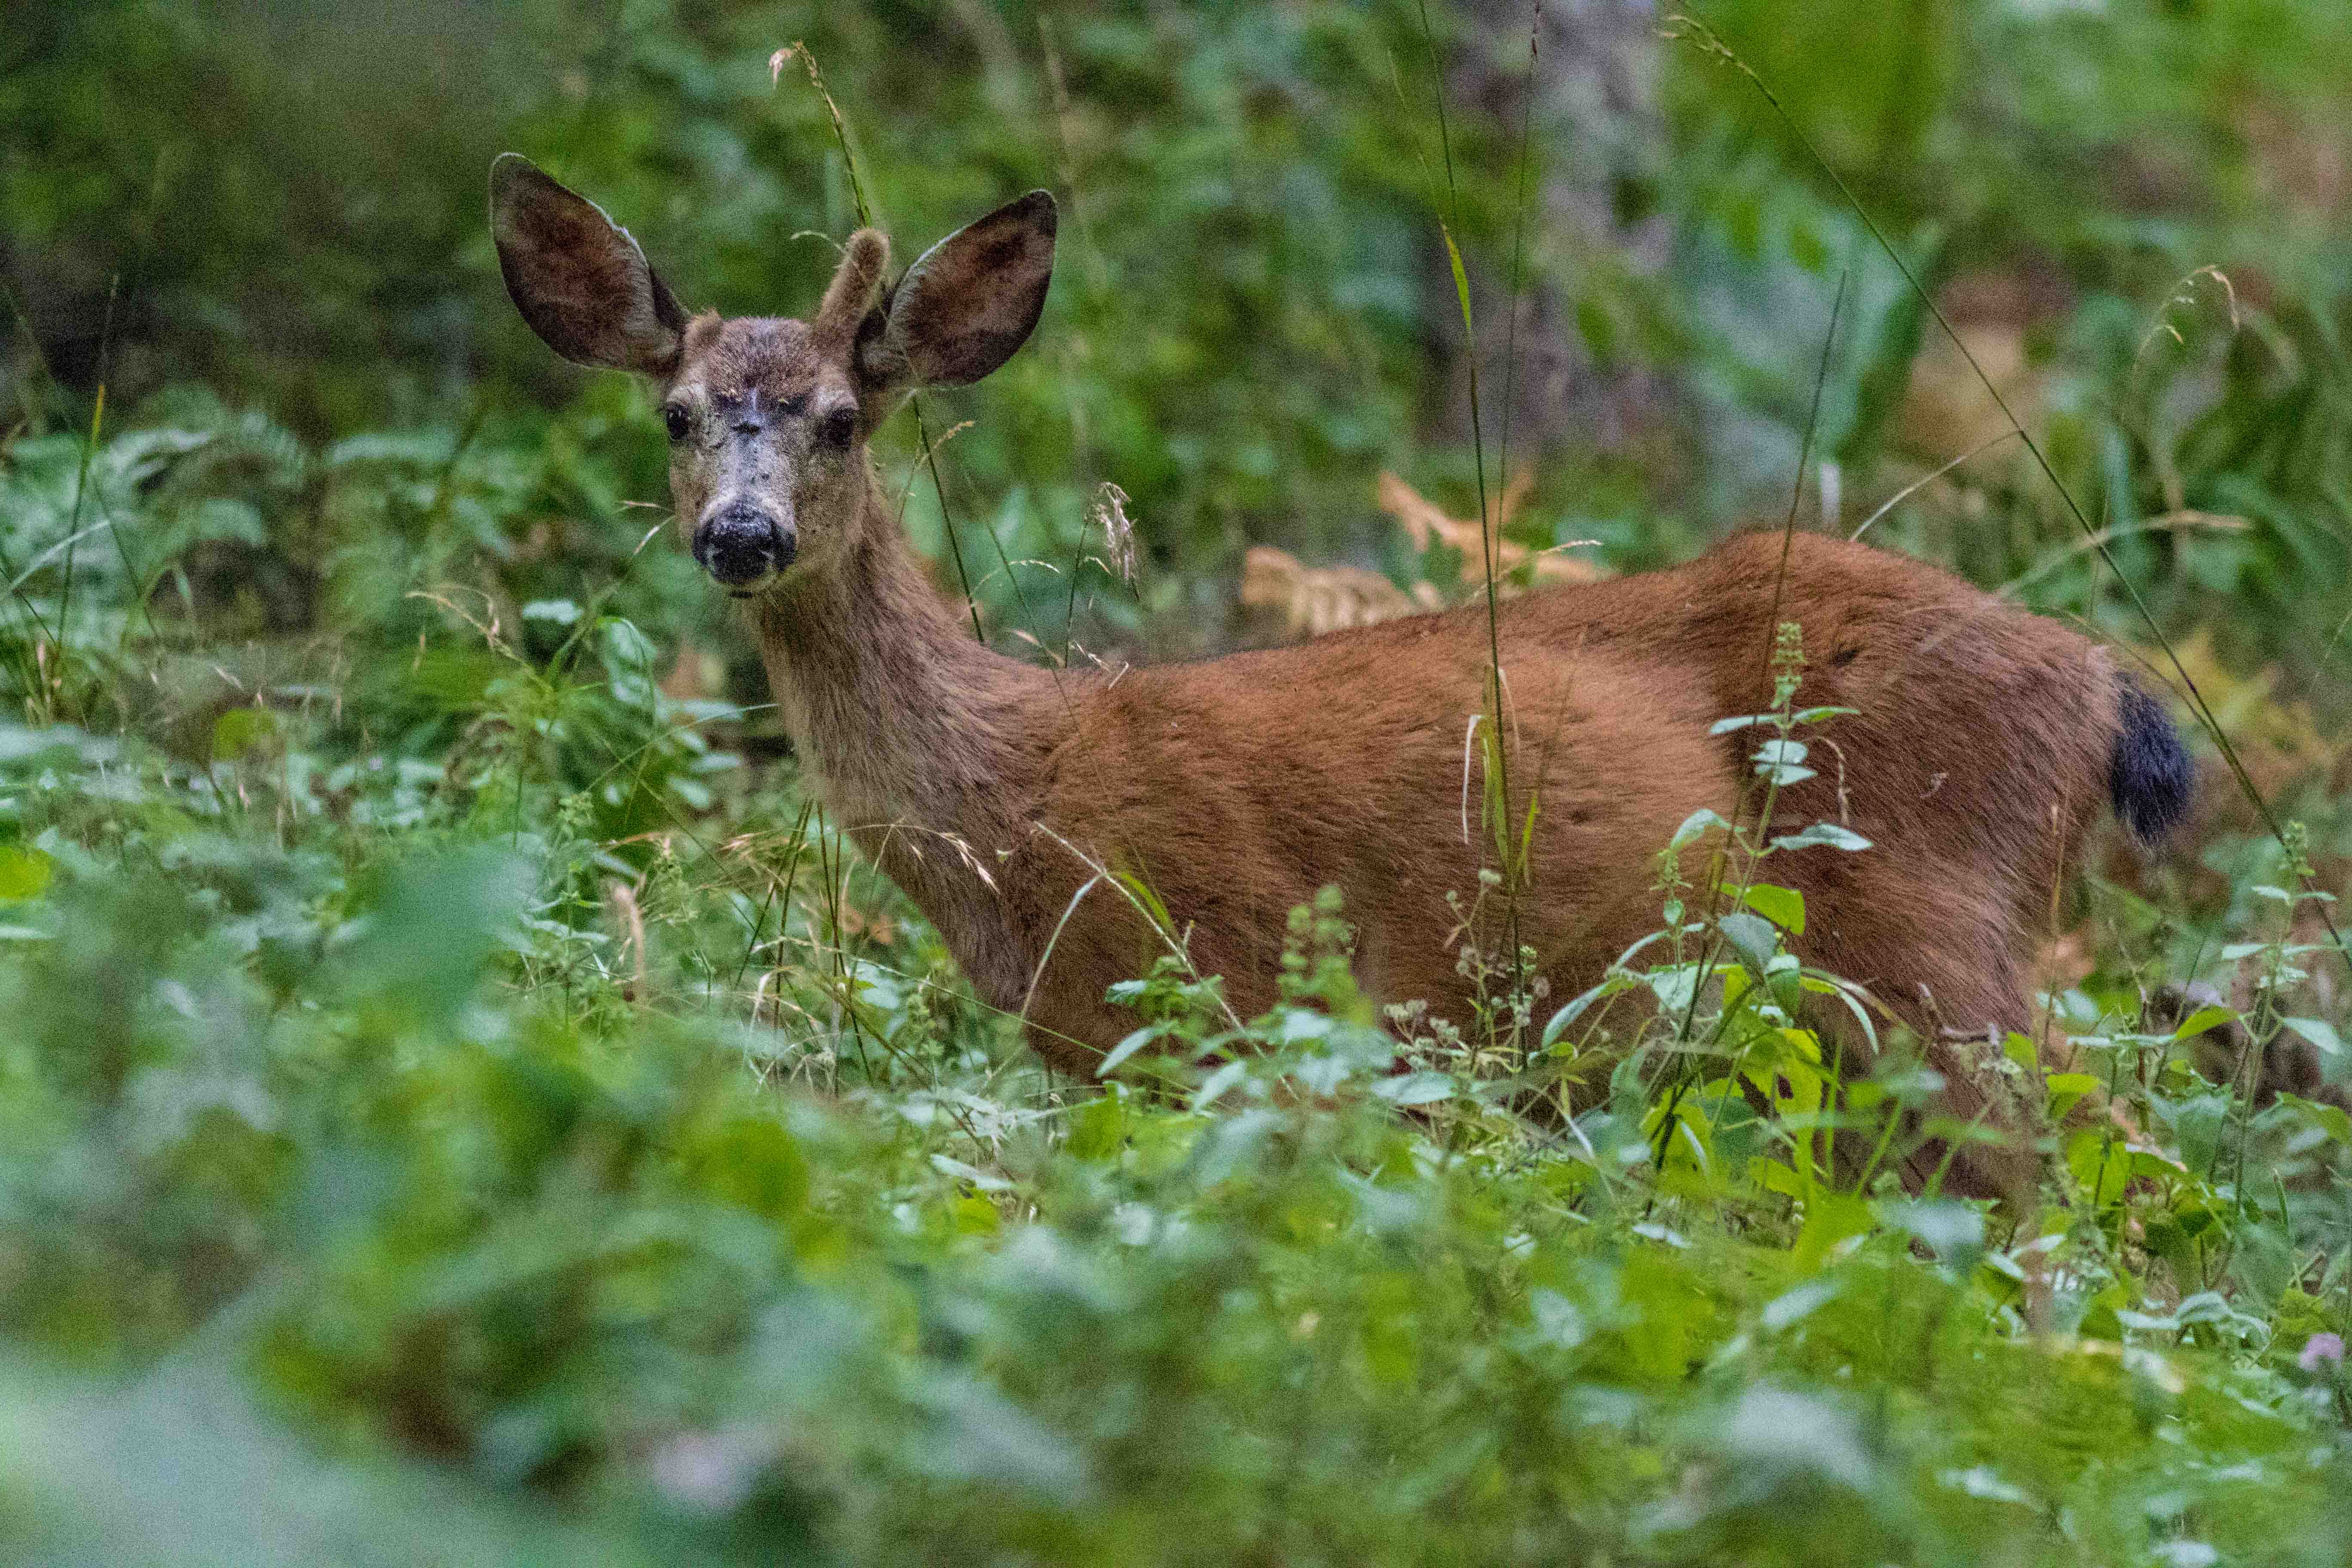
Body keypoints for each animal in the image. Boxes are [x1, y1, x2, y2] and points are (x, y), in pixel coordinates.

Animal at [487, 153, 2192, 1194]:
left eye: (842, 419)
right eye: (678, 415)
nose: (744, 533)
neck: (1015, 802)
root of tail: (2100, 683)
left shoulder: (1251, 1002)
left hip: (1927, 918)